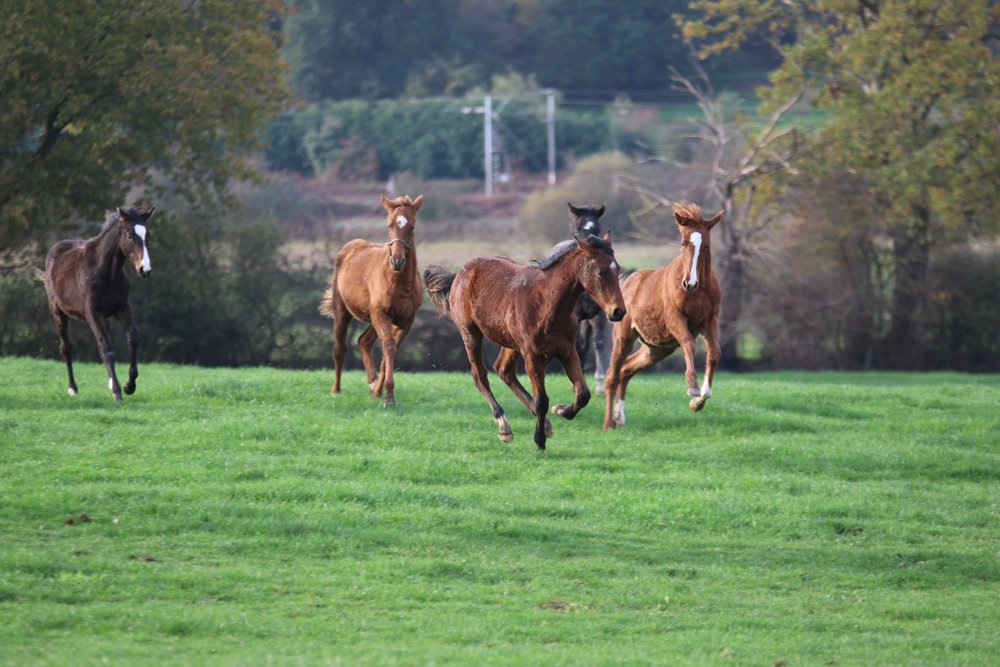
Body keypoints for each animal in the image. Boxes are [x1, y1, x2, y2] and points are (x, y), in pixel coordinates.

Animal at [38, 206, 155, 402]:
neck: (107, 272)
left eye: (147, 235)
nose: (145, 269)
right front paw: (118, 392)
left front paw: (129, 386)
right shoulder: (93, 312)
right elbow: (106, 348)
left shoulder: (122, 308)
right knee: (66, 347)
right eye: (129, 235)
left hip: (105, 317)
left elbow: (133, 338)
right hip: (58, 313)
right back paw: (72, 388)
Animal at [320, 194, 423, 407]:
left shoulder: (406, 320)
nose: (397, 261)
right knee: (339, 349)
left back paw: (373, 384)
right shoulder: (381, 314)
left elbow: (390, 353)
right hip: (344, 311)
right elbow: (389, 348)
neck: (399, 282)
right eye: (389, 225)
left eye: (412, 226)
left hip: (373, 318)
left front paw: (379, 391)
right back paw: (336, 390)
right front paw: (389, 397)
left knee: (363, 341)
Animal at [424, 232, 626, 450]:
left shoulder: (567, 351)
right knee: (480, 375)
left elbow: (583, 394)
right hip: (470, 333)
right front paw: (539, 440)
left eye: (617, 269)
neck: (546, 305)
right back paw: (504, 426)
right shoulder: (532, 356)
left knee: (503, 370)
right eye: (600, 272)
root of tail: (459, 274)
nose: (618, 311)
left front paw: (560, 410)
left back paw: (545, 424)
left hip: (510, 343)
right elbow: (542, 400)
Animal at [603, 202, 724, 430]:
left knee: (626, 369)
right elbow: (688, 343)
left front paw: (699, 401)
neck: (699, 291)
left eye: (706, 246)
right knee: (613, 374)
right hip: (624, 338)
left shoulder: (710, 319)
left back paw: (619, 418)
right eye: (683, 242)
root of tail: (626, 284)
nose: (689, 283)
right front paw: (693, 388)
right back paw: (609, 422)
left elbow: (714, 352)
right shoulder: (675, 318)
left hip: (657, 348)